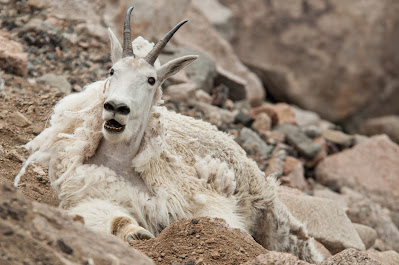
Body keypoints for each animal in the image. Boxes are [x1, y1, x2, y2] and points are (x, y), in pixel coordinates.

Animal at [14, 7, 324, 262]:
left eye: (151, 79)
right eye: (112, 70)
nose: (116, 108)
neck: (122, 164)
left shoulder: (201, 202)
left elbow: (220, 222)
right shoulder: (88, 195)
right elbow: (108, 218)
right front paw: (137, 233)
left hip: (270, 211)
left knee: (296, 241)